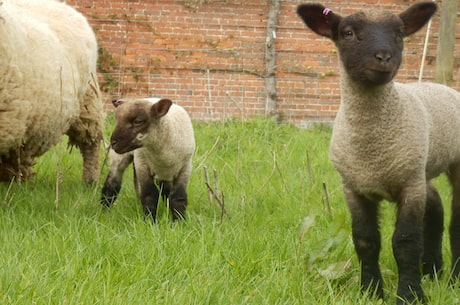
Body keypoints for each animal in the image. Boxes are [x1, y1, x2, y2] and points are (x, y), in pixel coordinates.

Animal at [298, 1, 460, 302]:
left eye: (399, 33)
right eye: (348, 33)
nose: (383, 57)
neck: (372, 149)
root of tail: (441, 85)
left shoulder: (409, 185)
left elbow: (406, 242)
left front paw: (410, 295)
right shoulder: (355, 187)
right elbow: (365, 240)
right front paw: (370, 291)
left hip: (444, 165)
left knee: (455, 222)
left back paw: (454, 278)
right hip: (419, 168)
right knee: (435, 208)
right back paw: (433, 271)